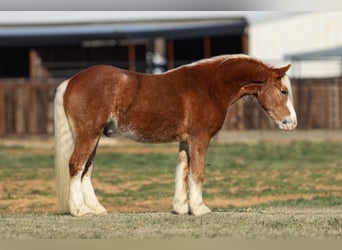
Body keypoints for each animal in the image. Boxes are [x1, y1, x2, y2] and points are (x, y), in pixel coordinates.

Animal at [54, 54, 296, 217]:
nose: (292, 123)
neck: (210, 86)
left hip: (94, 137)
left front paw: (181, 207)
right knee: (76, 165)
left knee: (86, 170)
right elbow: (197, 173)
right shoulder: (200, 138)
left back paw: (96, 208)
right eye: (283, 91)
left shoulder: (185, 140)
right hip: (88, 135)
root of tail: (71, 81)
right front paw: (199, 208)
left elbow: (183, 170)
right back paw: (80, 210)